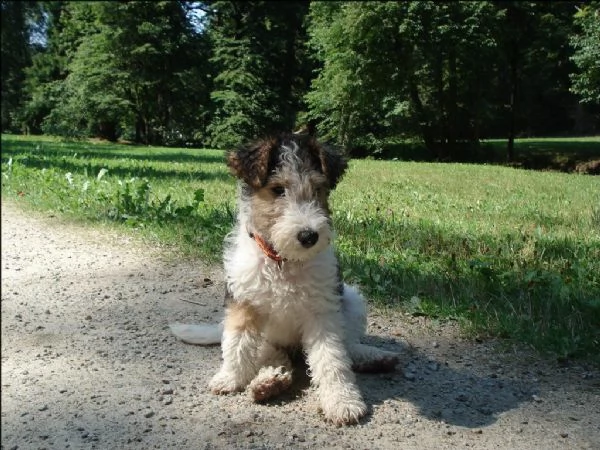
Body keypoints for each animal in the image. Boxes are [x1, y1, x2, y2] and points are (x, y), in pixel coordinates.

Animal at [170, 134, 398, 426]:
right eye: (278, 189)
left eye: (318, 188)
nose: (309, 236)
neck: (282, 261)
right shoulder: (243, 303)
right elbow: (237, 344)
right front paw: (230, 378)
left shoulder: (322, 312)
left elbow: (332, 359)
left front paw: (342, 402)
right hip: (270, 339)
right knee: (274, 358)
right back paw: (268, 382)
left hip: (351, 299)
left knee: (349, 345)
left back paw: (375, 357)